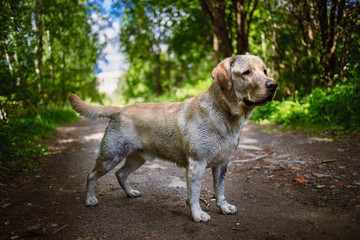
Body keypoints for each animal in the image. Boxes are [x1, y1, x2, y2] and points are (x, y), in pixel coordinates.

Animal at [68, 54, 276, 221]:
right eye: (247, 72)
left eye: (264, 70)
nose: (273, 85)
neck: (226, 115)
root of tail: (120, 108)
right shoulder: (197, 164)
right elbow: (194, 193)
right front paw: (197, 214)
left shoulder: (222, 164)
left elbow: (220, 190)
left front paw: (224, 207)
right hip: (111, 155)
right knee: (91, 175)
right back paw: (90, 199)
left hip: (138, 157)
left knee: (121, 174)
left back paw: (130, 193)